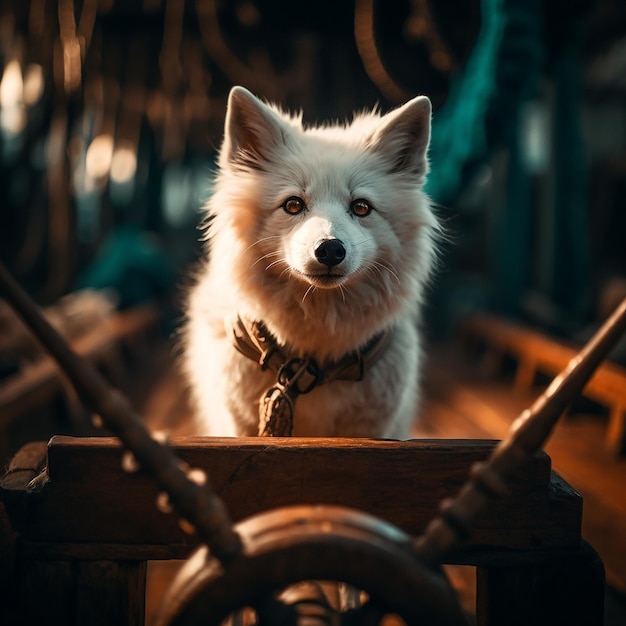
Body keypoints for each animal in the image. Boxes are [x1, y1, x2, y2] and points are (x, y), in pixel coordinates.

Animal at [179, 86, 434, 438]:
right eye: (293, 205)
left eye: (361, 207)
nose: (330, 250)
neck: (313, 360)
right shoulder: (240, 427)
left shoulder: (370, 430)